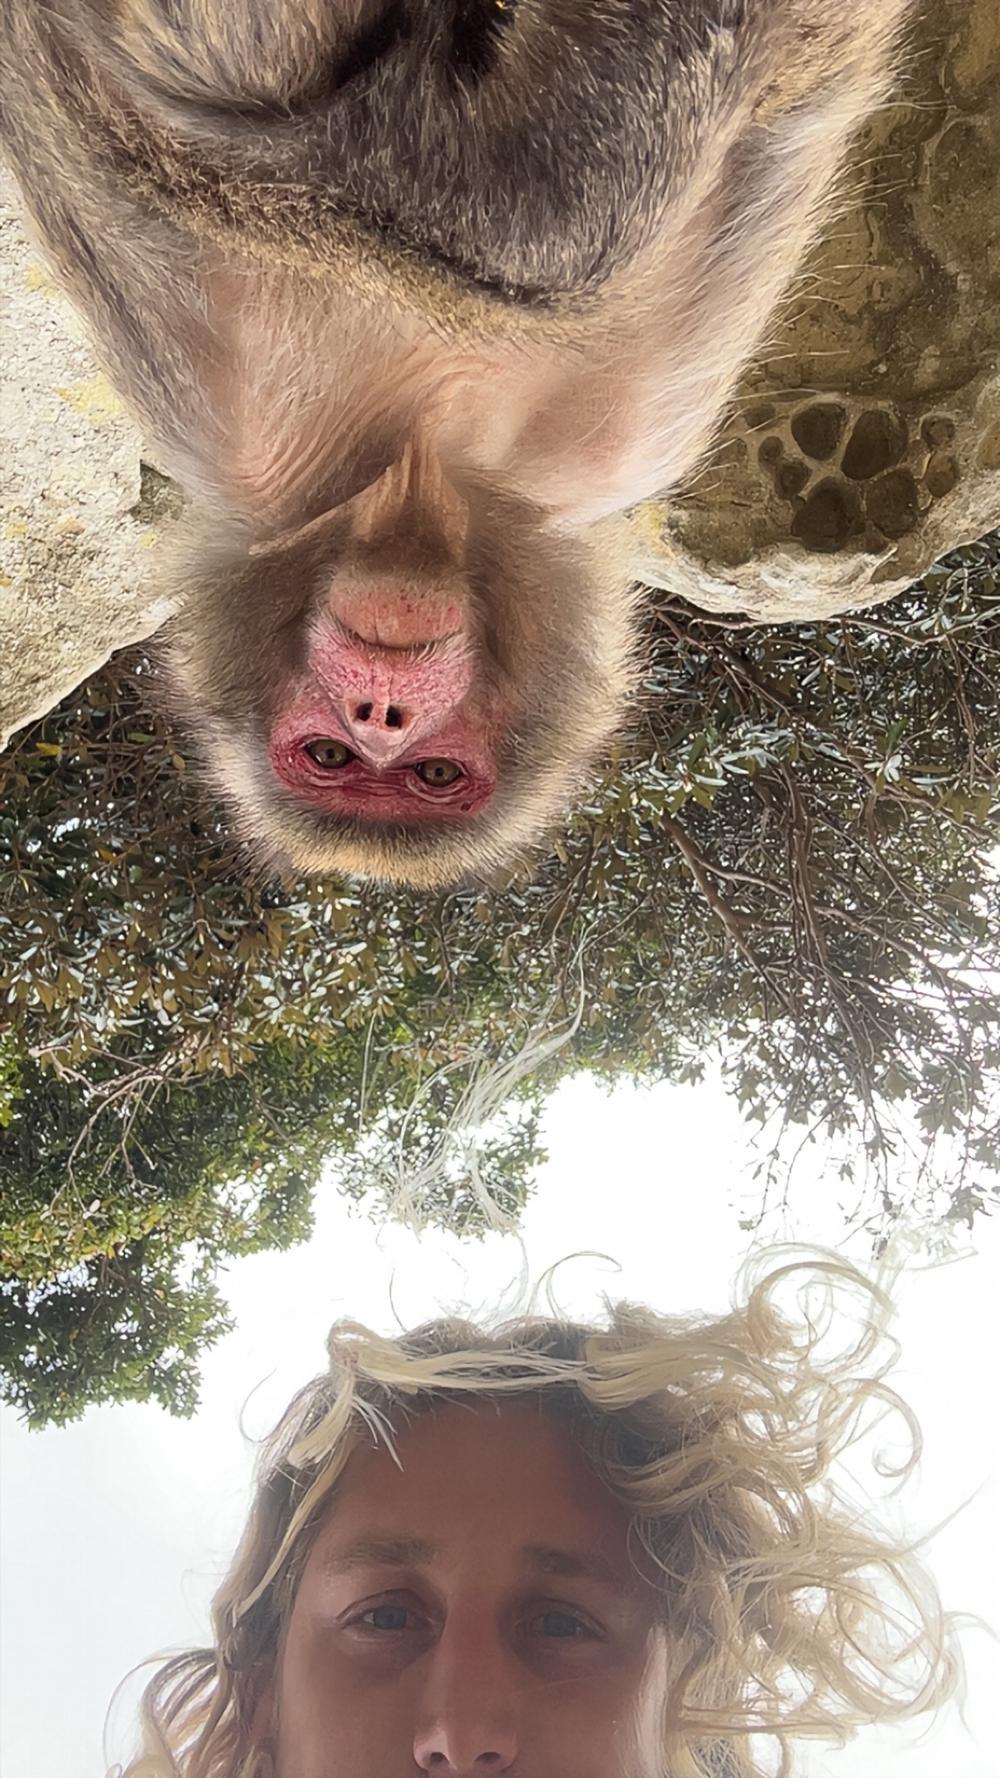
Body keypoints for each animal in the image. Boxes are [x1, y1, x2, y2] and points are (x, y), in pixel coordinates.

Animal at [0, 0, 915, 887]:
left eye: (431, 774)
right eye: (331, 756)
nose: (380, 718)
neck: (421, 448)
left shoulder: (606, 450)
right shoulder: (256, 448)